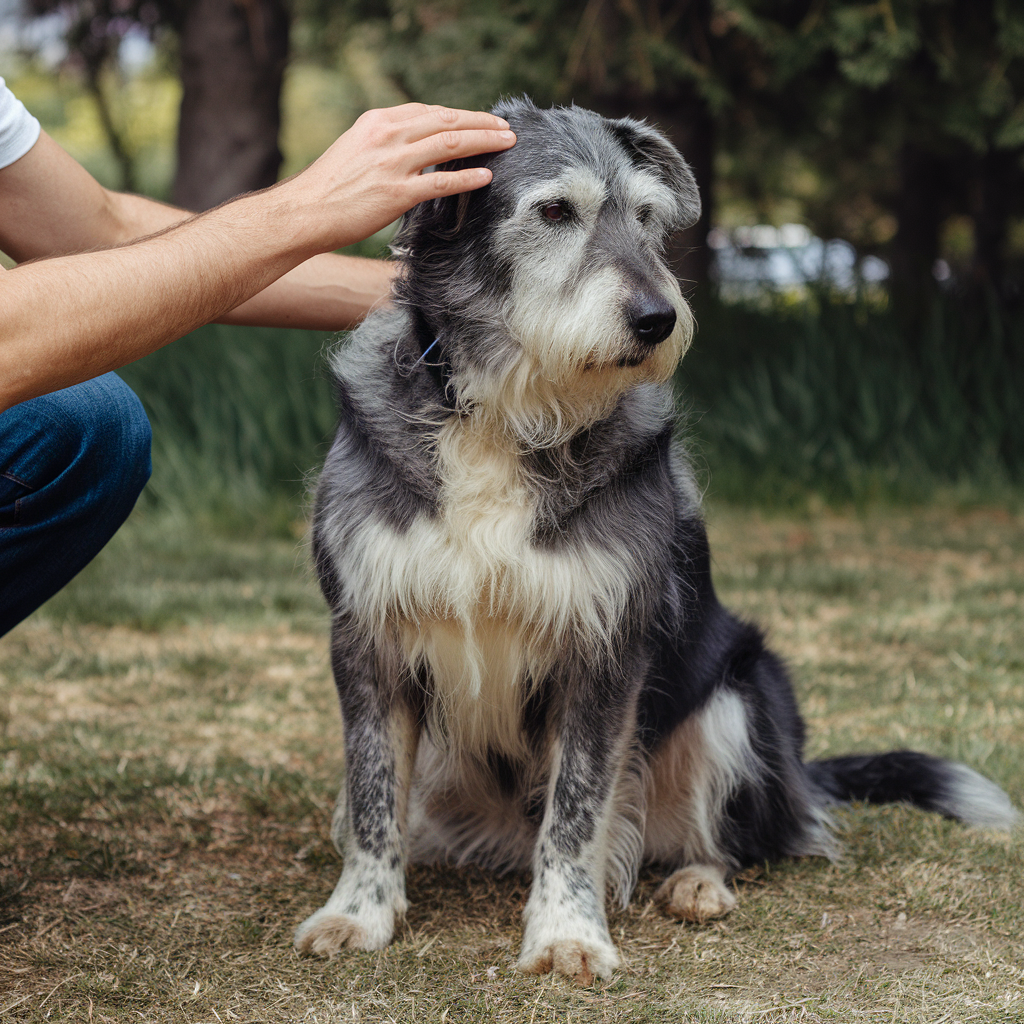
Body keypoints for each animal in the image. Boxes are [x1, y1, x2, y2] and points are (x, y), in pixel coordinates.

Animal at [294, 97, 1015, 983]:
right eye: (555, 212)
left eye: (645, 217)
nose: (658, 319)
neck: (510, 411)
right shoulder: (367, 634)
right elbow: (370, 797)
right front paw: (359, 913)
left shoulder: (604, 646)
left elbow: (575, 813)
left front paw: (567, 934)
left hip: (741, 698)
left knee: (738, 841)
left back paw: (700, 884)